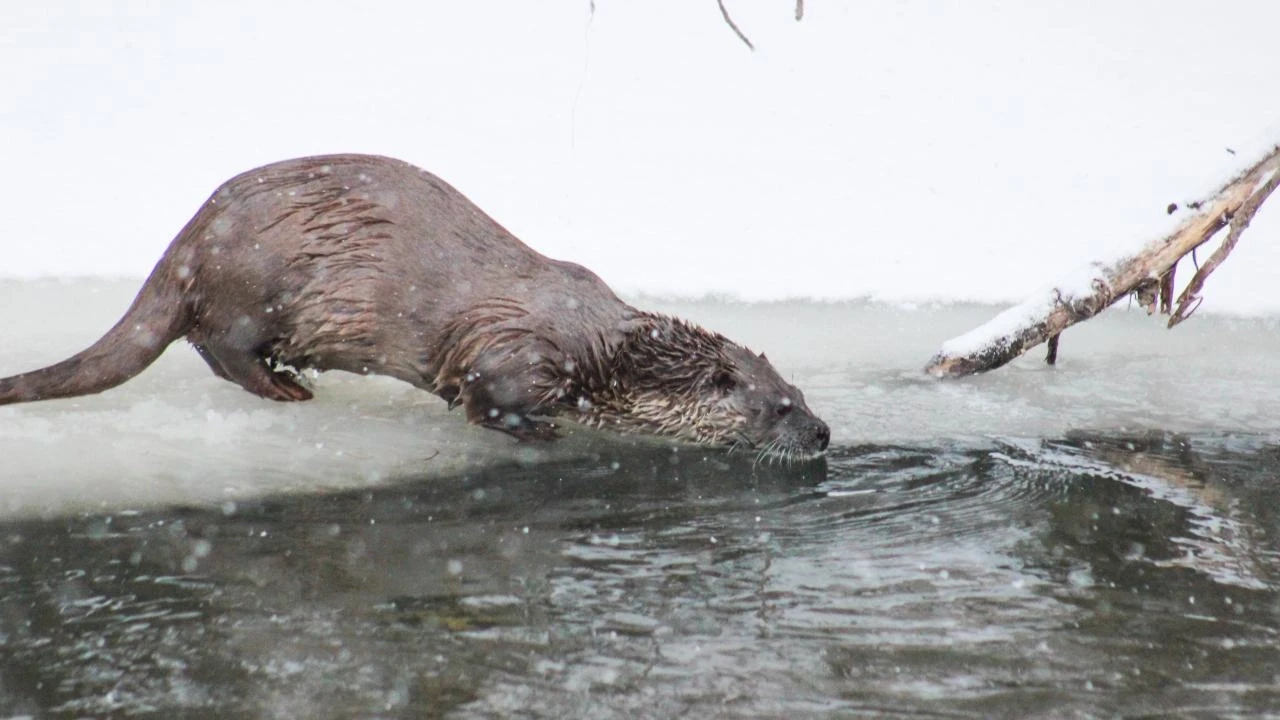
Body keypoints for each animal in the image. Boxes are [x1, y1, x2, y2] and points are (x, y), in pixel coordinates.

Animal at [0, 155, 829, 458]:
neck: (604, 354)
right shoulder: (515, 357)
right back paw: (287, 387)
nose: (823, 432)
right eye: (780, 406)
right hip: (251, 289)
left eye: (800, 389)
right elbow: (486, 402)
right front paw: (543, 434)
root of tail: (190, 239)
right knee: (221, 348)